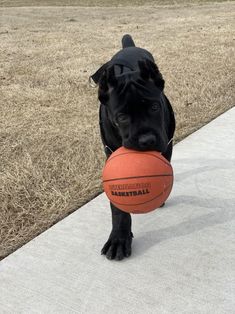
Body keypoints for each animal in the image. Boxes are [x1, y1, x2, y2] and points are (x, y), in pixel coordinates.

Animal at [91, 33, 175, 260]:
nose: (147, 140)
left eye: (154, 107)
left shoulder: (167, 144)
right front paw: (119, 238)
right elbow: (118, 209)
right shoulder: (110, 157)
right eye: (121, 117)